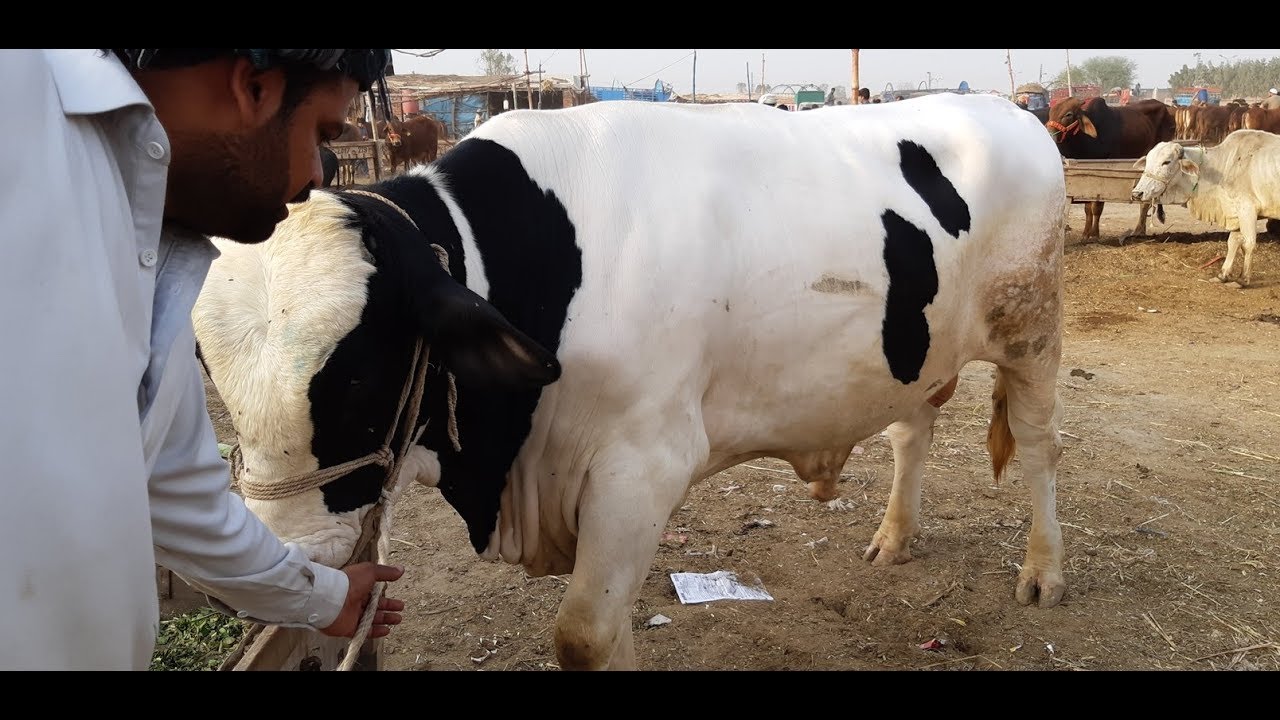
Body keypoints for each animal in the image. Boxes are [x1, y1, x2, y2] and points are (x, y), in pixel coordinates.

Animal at [192, 94, 1069, 670]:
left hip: (1032, 334)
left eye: (358, 375)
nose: (271, 567)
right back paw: (894, 536)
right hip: (915, 356)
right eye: (206, 369)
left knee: (1037, 448)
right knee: (910, 429)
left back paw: (1044, 572)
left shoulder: (642, 466)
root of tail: (1009, 109)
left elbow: (584, 636)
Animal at [1047, 96, 1175, 241]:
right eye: (1051, 112)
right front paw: (1085, 234)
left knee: (1145, 202)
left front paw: (1095, 234)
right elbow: (1088, 207)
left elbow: (1097, 207)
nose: (1049, 134)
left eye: (1068, 114)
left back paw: (1139, 230)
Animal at [1131, 130, 1280, 287]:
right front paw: (1223, 275)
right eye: (1148, 161)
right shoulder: (1234, 211)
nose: (1137, 193)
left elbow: (1249, 244)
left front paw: (1242, 279)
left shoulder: (1247, 209)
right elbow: (1232, 242)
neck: (1225, 166)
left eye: (1166, 162)